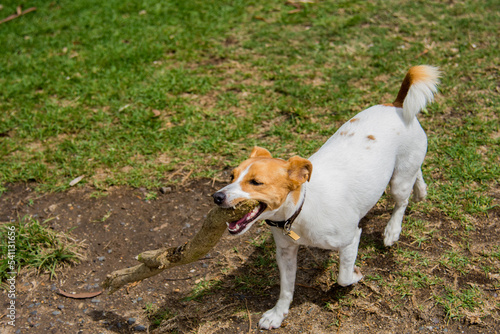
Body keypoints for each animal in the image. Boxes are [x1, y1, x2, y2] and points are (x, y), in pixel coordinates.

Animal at [213, 65, 440, 328]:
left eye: (256, 182)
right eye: (231, 176)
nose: (216, 197)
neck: (301, 209)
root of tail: (397, 105)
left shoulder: (351, 239)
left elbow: (343, 277)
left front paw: (355, 275)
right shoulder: (285, 252)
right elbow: (286, 289)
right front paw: (278, 314)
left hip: (398, 182)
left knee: (401, 202)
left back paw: (392, 230)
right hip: (407, 167)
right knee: (417, 173)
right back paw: (421, 190)